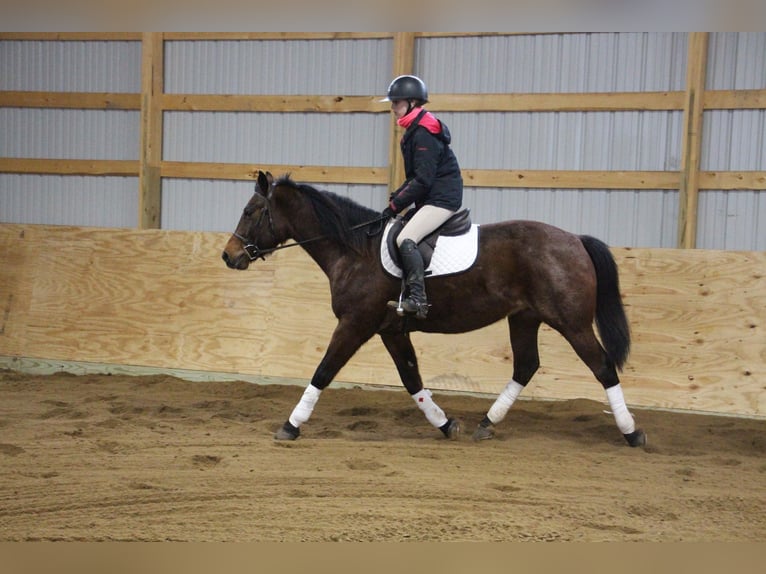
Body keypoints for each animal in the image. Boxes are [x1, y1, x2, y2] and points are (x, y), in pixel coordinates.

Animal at [222, 171, 648, 450]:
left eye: (251, 210)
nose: (229, 256)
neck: (354, 251)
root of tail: (575, 239)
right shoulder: (391, 330)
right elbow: (412, 379)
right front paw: (445, 424)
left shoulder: (355, 324)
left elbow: (323, 372)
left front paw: (290, 426)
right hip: (524, 318)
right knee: (526, 365)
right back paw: (486, 423)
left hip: (572, 323)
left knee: (602, 367)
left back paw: (632, 432)